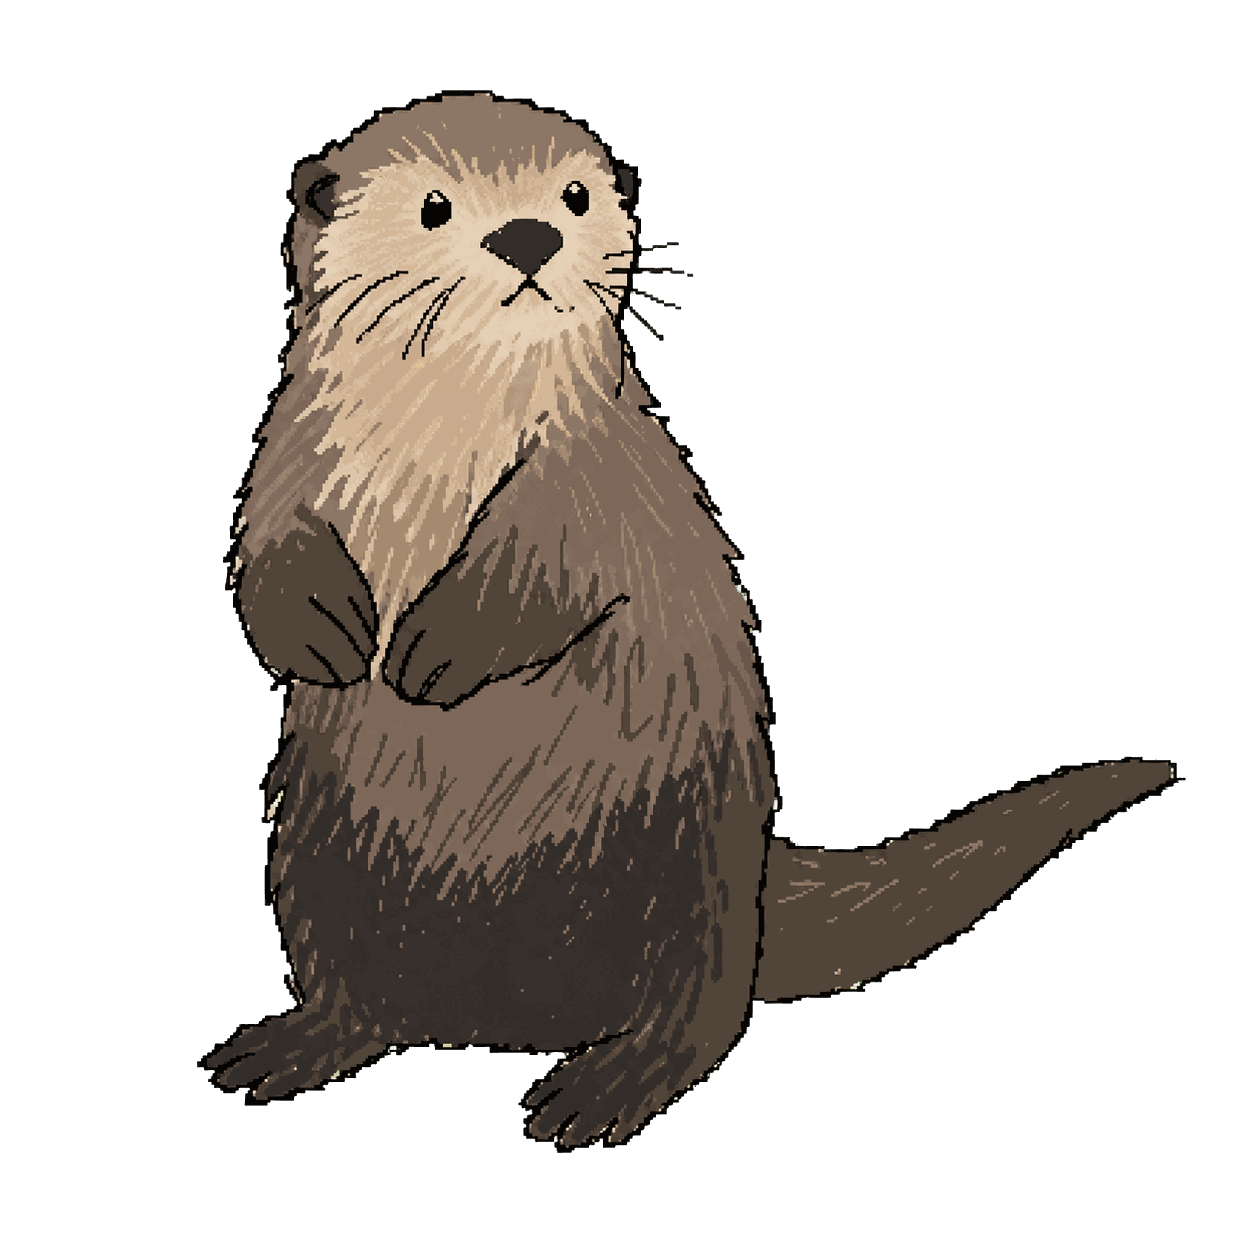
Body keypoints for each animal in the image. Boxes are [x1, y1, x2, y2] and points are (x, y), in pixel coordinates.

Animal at [209, 94, 1172, 1143]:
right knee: (361, 994)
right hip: (315, 859)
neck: (443, 438)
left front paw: (428, 654)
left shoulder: (598, 469)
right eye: (433, 207)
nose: (528, 235)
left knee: (699, 1020)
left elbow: (550, 563)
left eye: (575, 194)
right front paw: (329, 637)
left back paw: (606, 1085)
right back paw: (304, 1042)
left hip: (682, 873)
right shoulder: (292, 443)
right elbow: (267, 543)